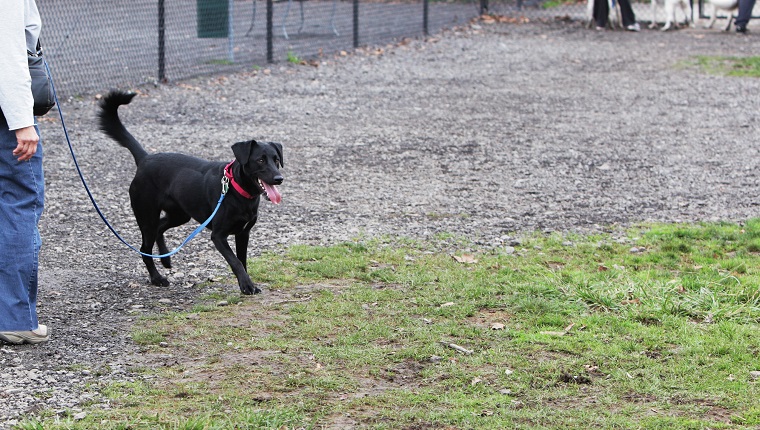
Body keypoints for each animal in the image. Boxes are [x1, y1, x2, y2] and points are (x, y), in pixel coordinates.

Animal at [98, 90, 282, 292]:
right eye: (260, 160)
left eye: (276, 159)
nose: (279, 178)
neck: (237, 190)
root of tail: (146, 159)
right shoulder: (218, 236)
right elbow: (235, 261)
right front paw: (246, 285)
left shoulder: (243, 233)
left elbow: (242, 260)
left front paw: (247, 284)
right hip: (147, 215)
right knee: (145, 249)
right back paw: (157, 278)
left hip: (179, 214)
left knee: (160, 227)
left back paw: (166, 258)